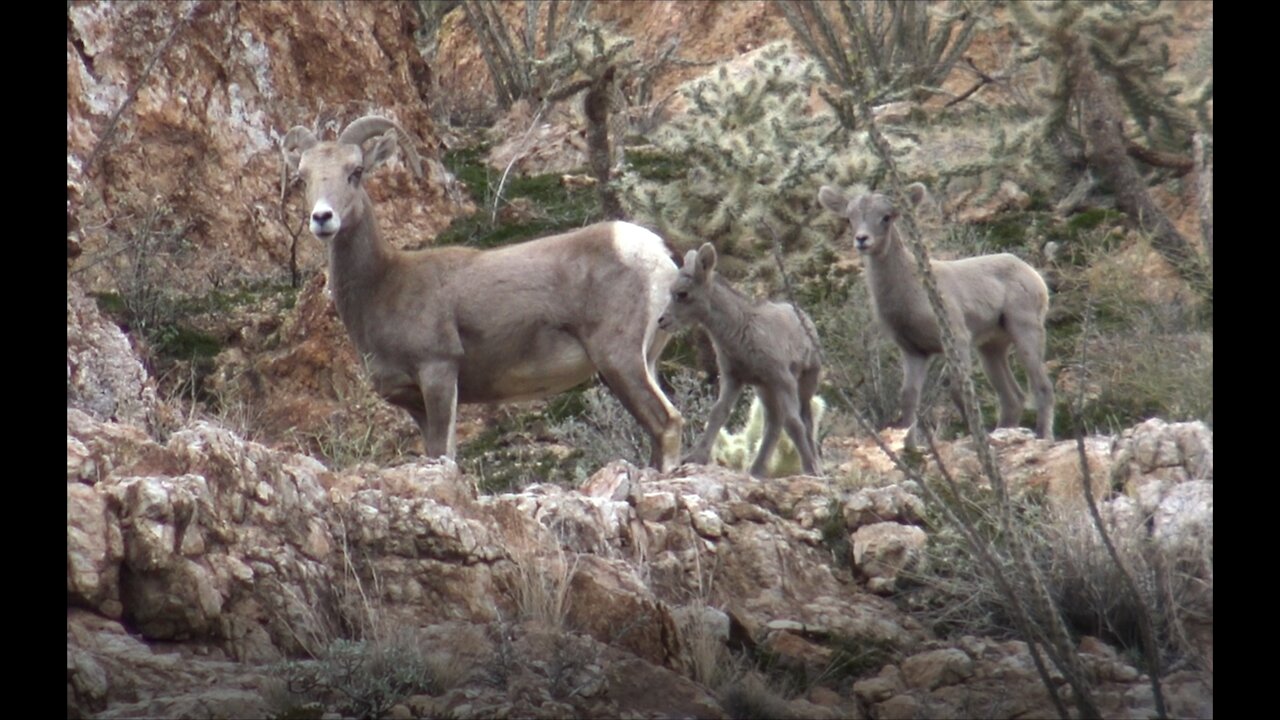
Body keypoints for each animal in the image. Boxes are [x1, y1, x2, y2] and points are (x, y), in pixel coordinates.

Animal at [279, 114, 680, 468]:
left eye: (356, 172)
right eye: (303, 177)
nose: (322, 218)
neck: (384, 284)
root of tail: (657, 255)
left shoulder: (438, 373)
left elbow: (445, 455)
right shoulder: (415, 404)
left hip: (619, 359)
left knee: (667, 425)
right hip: (645, 362)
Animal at [655, 242, 824, 476]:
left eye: (682, 293)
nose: (662, 321)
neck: (740, 330)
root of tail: (806, 320)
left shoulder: (783, 380)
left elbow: (794, 423)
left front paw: (810, 469)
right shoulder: (734, 378)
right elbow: (718, 413)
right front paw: (696, 458)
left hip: (805, 381)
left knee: (805, 420)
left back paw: (812, 463)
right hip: (765, 389)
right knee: (773, 422)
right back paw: (756, 470)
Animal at [819, 181, 1059, 440]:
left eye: (886, 217)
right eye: (849, 218)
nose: (862, 240)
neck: (910, 292)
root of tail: (1033, 275)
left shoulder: (957, 340)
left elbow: (958, 391)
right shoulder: (914, 351)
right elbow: (908, 398)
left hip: (1025, 330)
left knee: (1042, 387)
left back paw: (1044, 436)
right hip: (991, 348)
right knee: (1013, 398)